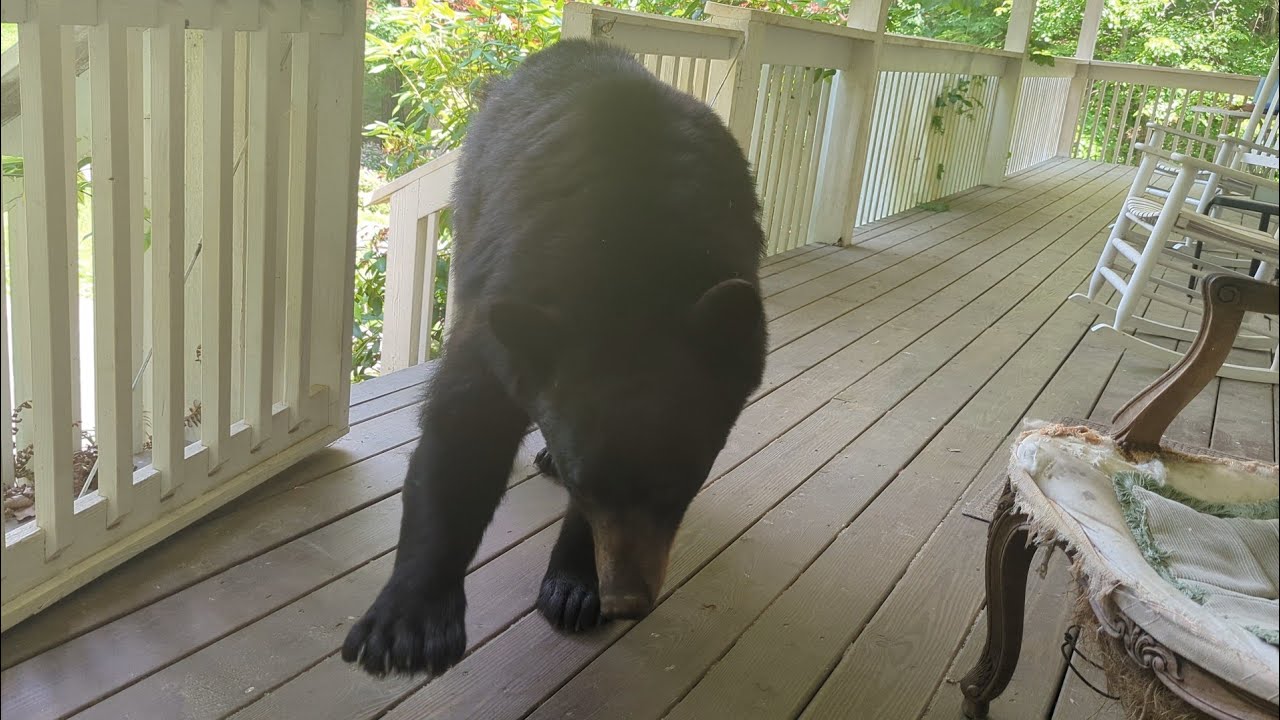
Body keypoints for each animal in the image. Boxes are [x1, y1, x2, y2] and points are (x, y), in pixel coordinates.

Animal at [341, 39, 767, 678]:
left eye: (680, 483)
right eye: (585, 483)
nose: (628, 601)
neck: (632, 269)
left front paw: (576, 582)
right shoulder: (509, 311)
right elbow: (463, 430)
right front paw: (411, 619)